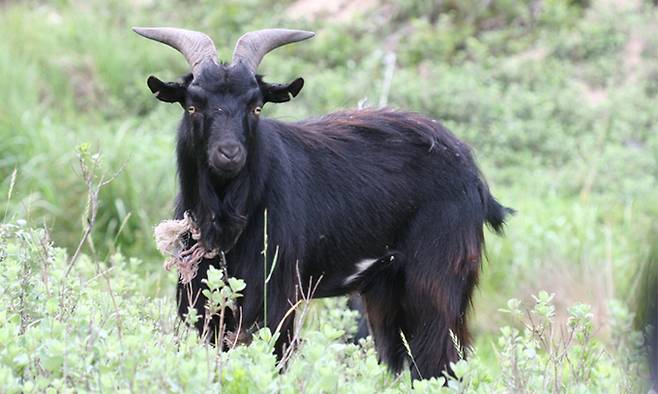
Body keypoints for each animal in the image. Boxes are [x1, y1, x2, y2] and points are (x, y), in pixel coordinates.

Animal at [136, 25, 510, 378]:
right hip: (385, 290)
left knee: (440, 362)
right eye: (193, 105)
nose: (229, 153)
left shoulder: (277, 297)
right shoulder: (204, 300)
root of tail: (473, 174)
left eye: (255, 107)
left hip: (435, 282)